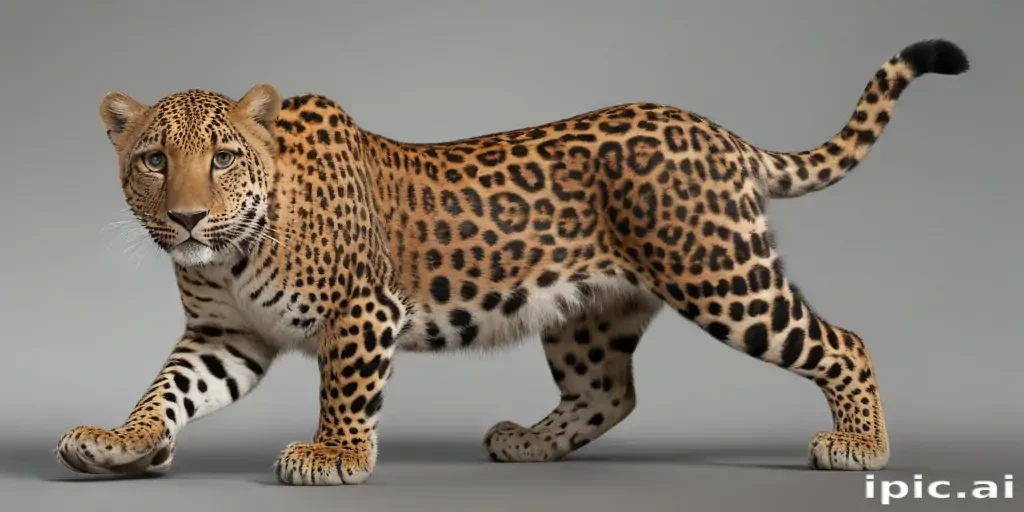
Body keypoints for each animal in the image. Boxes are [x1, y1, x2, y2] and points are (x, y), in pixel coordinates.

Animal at [56, 39, 968, 485]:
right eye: (152, 160)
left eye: (223, 158)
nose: (186, 217)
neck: (233, 252)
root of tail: (716, 130)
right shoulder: (225, 336)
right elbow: (168, 390)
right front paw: (120, 442)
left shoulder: (364, 308)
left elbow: (343, 391)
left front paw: (334, 457)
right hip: (589, 312)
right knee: (610, 392)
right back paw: (527, 443)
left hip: (721, 275)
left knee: (842, 342)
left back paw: (860, 446)